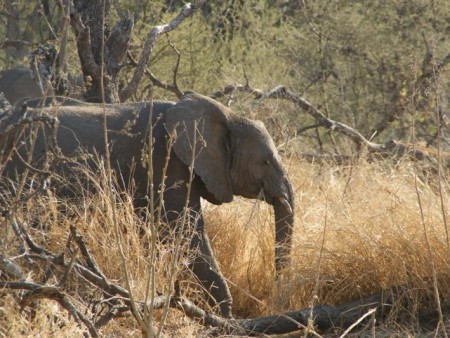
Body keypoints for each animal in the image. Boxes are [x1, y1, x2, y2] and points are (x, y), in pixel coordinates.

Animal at [2, 91, 296, 318]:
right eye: (265, 162)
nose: (274, 298)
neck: (226, 114)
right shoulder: (164, 161)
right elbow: (184, 232)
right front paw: (225, 319)